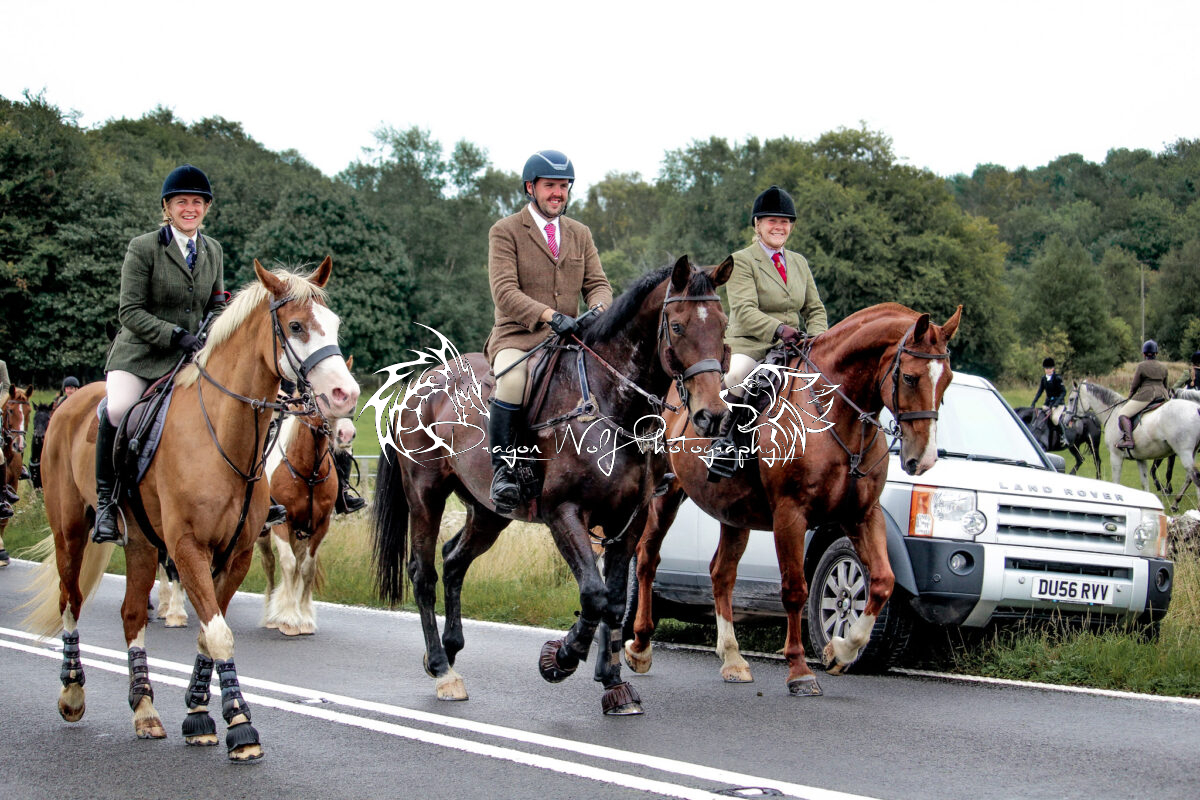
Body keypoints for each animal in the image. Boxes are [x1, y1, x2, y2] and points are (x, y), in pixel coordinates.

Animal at [21, 259, 360, 761]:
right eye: (296, 326)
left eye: (334, 324)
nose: (345, 396)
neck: (222, 433)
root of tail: (72, 403)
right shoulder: (187, 547)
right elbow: (218, 632)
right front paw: (241, 725)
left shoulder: (236, 552)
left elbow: (209, 630)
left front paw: (201, 716)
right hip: (70, 533)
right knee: (71, 601)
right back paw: (73, 693)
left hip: (141, 542)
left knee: (131, 614)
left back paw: (145, 710)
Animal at [369, 255, 732, 715]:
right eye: (679, 326)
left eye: (721, 325)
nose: (712, 415)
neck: (612, 402)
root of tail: (421, 384)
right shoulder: (565, 513)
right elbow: (594, 594)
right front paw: (560, 659)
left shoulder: (627, 523)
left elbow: (614, 602)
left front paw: (614, 683)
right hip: (425, 497)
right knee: (423, 573)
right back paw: (442, 670)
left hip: (489, 512)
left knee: (453, 561)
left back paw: (449, 650)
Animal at [625, 302, 962, 695]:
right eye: (909, 377)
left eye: (947, 380)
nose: (923, 459)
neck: (835, 417)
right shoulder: (791, 515)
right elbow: (795, 590)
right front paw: (800, 670)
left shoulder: (862, 514)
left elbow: (882, 582)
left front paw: (839, 651)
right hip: (665, 498)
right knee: (647, 559)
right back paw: (640, 646)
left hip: (734, 512)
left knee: (721, 574)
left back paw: (732, 658)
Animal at [1072, 379, 1200, 511]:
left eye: (1071, 399)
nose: (1069, 419)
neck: (1113, 413)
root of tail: (1196, 408)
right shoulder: (1141, 458)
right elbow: (1145, 483)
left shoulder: (1115, 456)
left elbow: (1116, 481)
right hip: (1191, 452)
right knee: (1189, 477)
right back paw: (1176, 503)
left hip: (1184, 452)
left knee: (1195, 477)